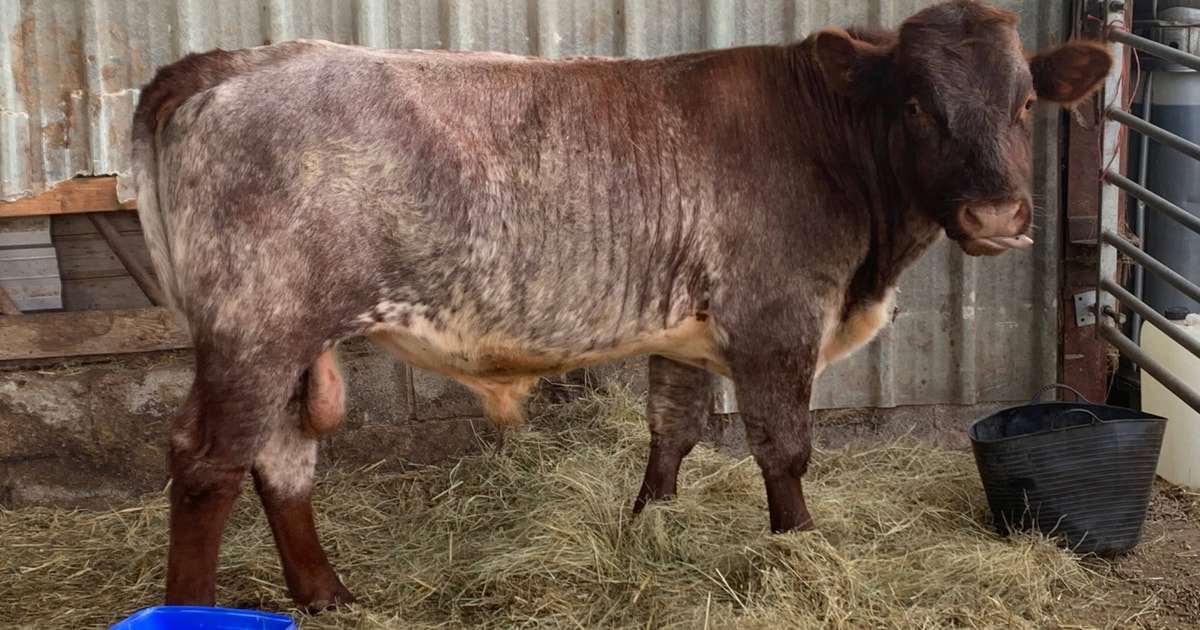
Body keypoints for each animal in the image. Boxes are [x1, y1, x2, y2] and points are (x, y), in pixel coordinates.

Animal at [130, 0, 1112, 611]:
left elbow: (672, 432)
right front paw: (798, 552)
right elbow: (783, 449)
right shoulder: (776, 320)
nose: (996, 216)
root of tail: (237, 59)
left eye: (1027, 103)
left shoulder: (684, 332)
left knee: (282, 458)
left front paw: (648, 527)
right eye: (914, 105)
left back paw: (329, 596)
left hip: (289, 337)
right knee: (209, 464)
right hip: (255, 326)